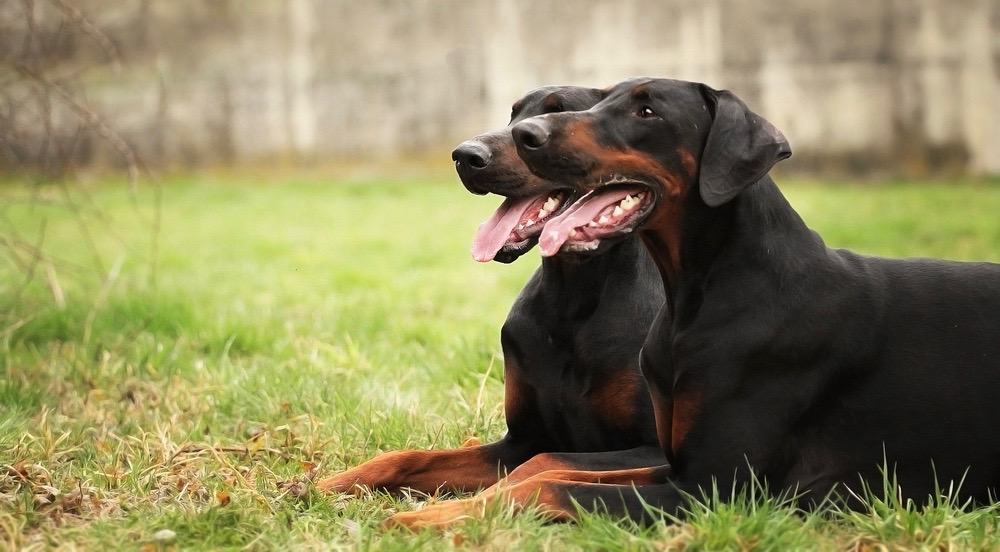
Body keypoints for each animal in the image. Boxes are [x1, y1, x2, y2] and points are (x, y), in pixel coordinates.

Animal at [318, 85, 672, 496]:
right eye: (512, 114)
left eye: (558, 114)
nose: (465, 155)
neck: (571, 297)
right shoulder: (518, 440)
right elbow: (407, 456)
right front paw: (322, 484)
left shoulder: (654, 448)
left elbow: (545, 460)